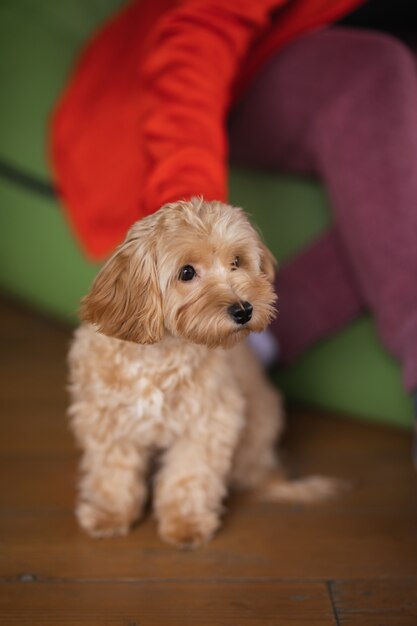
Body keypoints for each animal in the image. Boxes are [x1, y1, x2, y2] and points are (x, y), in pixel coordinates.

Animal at [67, 197, 334, 544]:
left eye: (237, 262)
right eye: (186, 272)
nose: (244, 310)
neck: (158, 355)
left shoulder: (208, 422)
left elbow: (189, 474)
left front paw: (186, 522)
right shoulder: (106, 419)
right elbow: (112, 471)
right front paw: (109, 514)